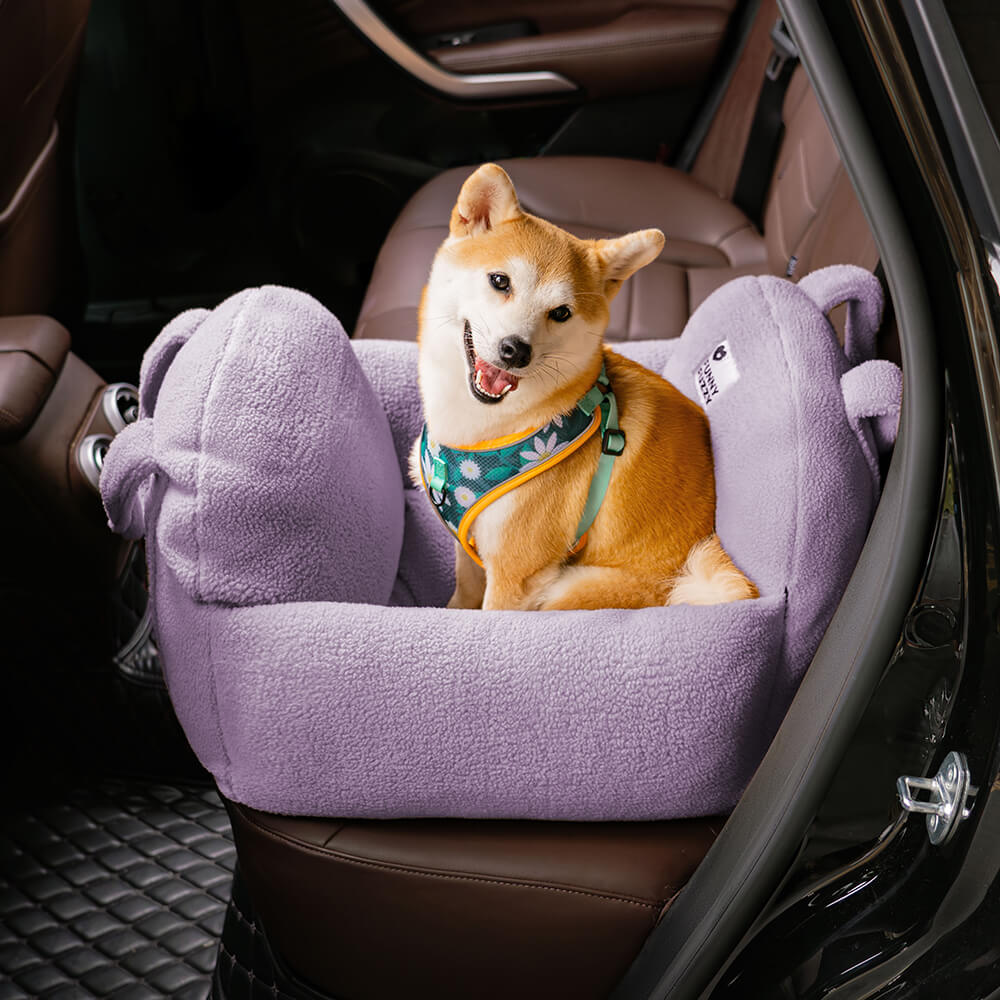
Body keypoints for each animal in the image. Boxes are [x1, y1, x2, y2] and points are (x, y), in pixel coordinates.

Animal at [410, 162, 752, 608]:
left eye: (561, 312)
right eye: (500, 281)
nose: (515, 350)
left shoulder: (515, 574)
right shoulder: (471, 553)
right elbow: (462, 598)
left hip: (571, 590)